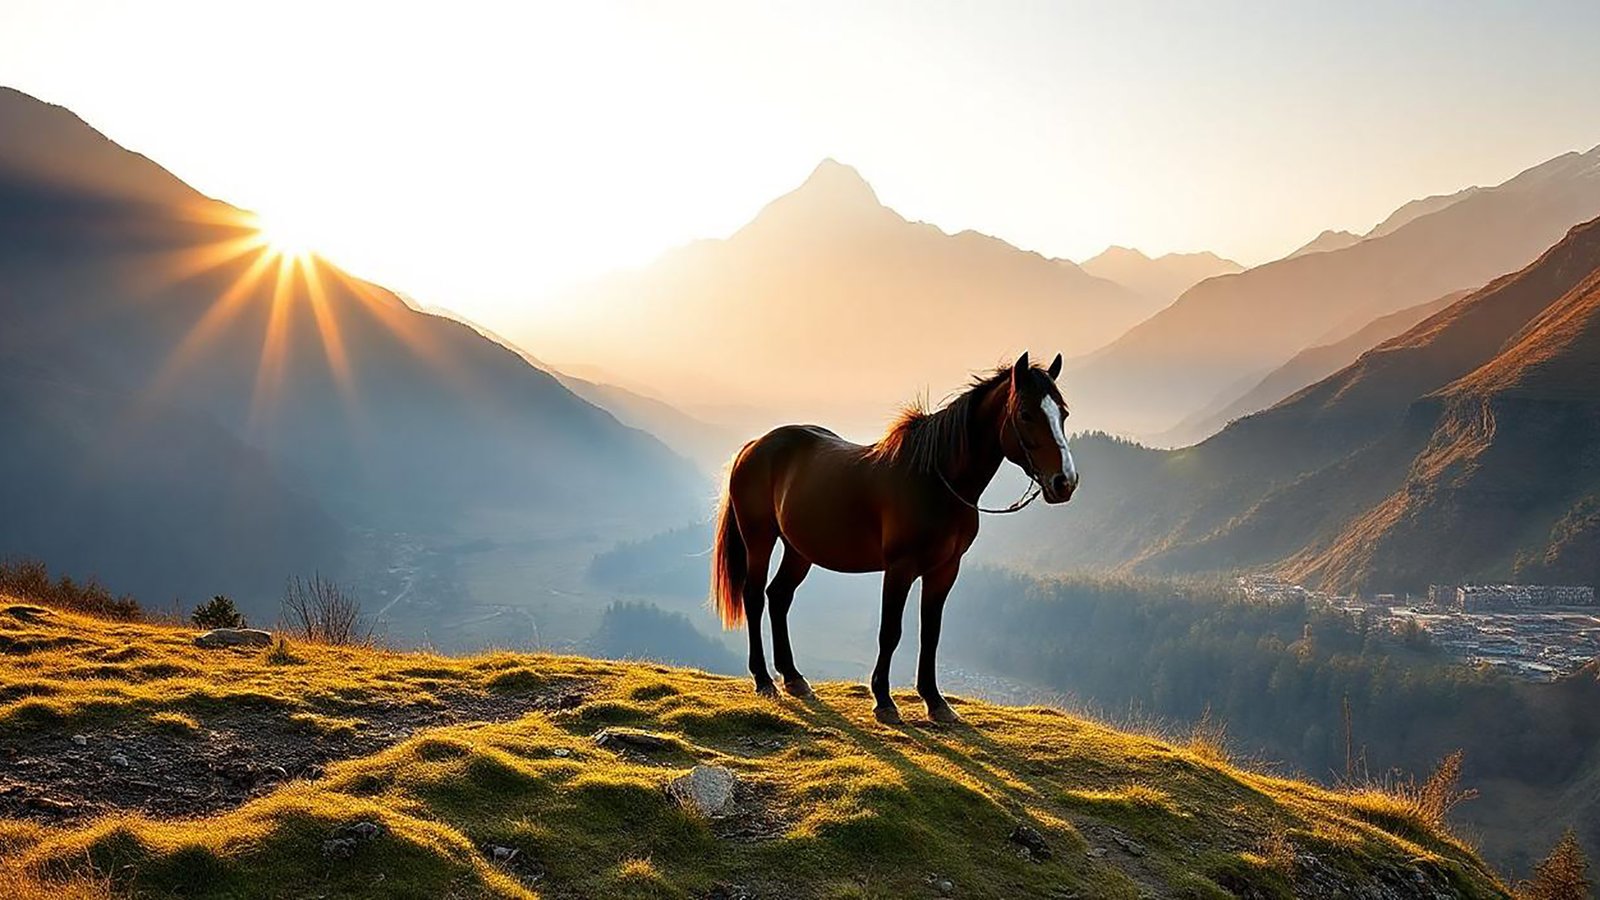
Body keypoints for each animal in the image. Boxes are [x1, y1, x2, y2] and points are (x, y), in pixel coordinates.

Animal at [710, 350, 1075, 720]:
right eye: (1026, 414)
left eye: (1062, 413)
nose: (1065, 482)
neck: (935, 481)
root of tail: (753, 447)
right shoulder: (900, 568)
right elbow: (891, 632)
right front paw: (884, 700)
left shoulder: (944, 570)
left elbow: (931, 632)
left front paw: (935, 701)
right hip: (759, 539)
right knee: (754, 596)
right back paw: (763, 679)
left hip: (799, 550)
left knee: (779, 596)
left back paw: (794, 678)